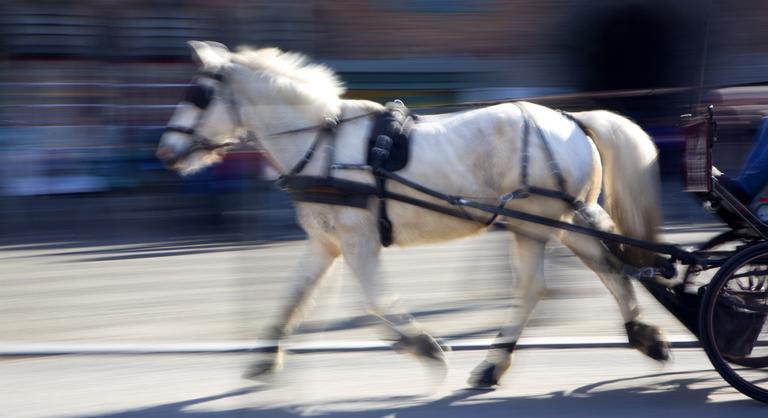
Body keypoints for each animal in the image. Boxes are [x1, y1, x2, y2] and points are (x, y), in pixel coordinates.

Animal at [158, 40, 672, 386]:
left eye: (198, 94)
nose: (164, 150)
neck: (321, 144)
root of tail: (572, 119)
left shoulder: (357, 239)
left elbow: (376, 300)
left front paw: (426, 347)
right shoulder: (325, 242)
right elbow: (293, 294)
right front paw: (265, 357)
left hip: (536, 222)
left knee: (546, 284)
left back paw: (497, 362)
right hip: (556, 224)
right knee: (597, 270)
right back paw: (635, 335)